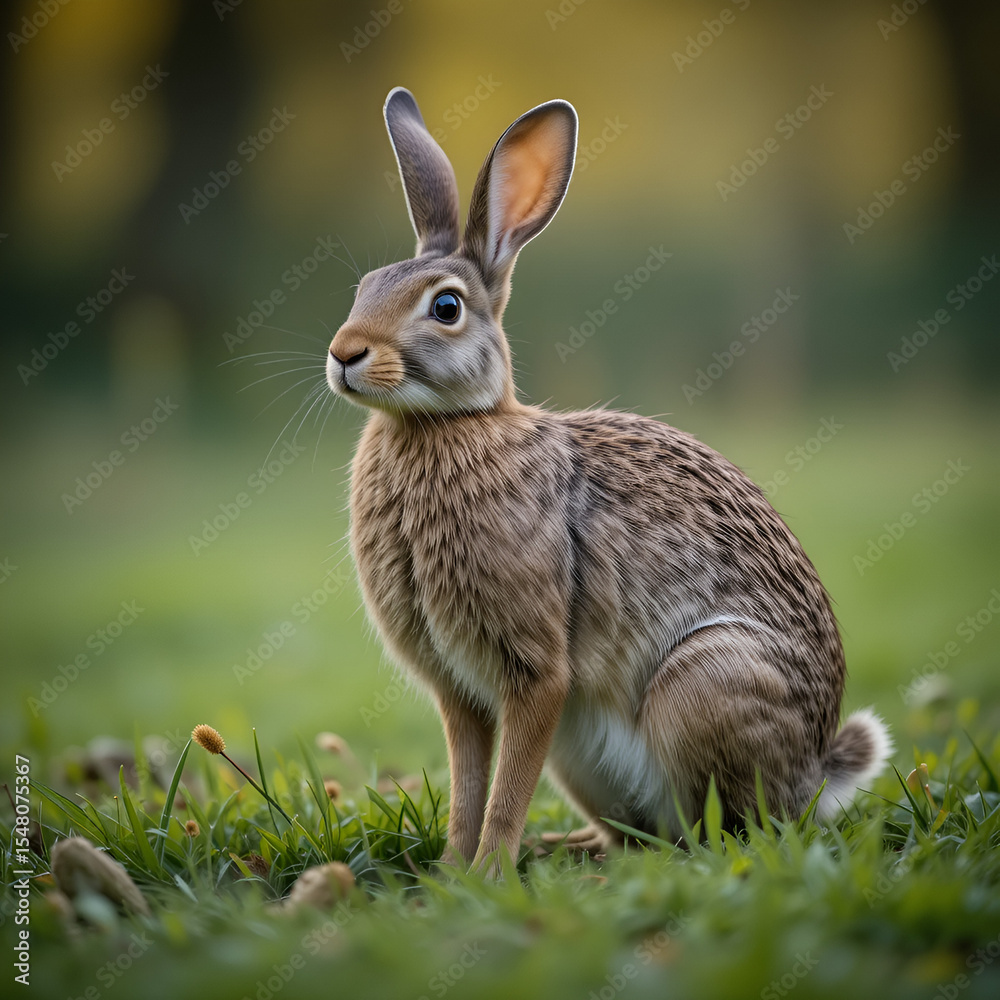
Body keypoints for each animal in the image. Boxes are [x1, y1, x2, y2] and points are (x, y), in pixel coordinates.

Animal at [325, 87, 892, 873]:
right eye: (363, 288)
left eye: (446, 308)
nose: (344, 353)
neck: (447, 425)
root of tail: (815, 776)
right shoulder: (457, 689)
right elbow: (469, 785)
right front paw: (452, 873)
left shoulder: (537, 673)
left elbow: (505, 790)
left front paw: (489, 872)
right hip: (583, 759)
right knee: (633, 836)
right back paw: (567, 849)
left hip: (699, 686)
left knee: (712, 838)